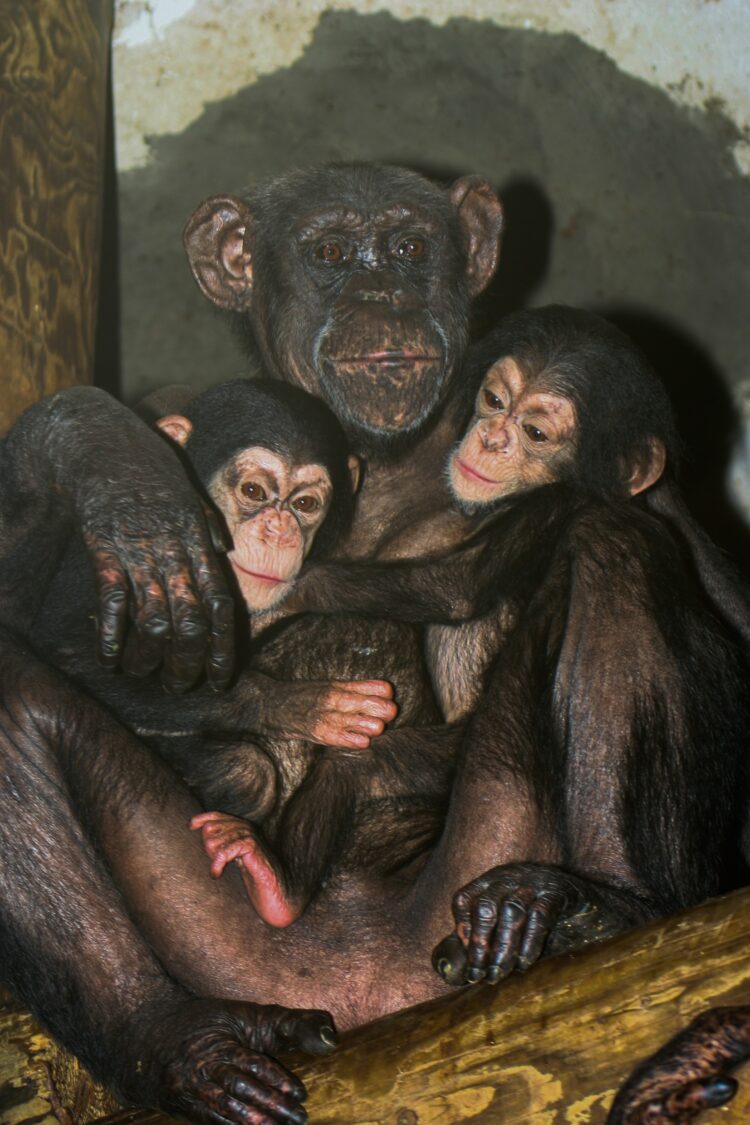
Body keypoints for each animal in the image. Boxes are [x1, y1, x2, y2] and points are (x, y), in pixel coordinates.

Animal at [29, 373, 452, 927]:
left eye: (304, 504)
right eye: (253, 491)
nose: (279, 530)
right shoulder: (118, 551)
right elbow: (70, 654)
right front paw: (303, 706)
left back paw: (280, 885)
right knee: (248, 773)